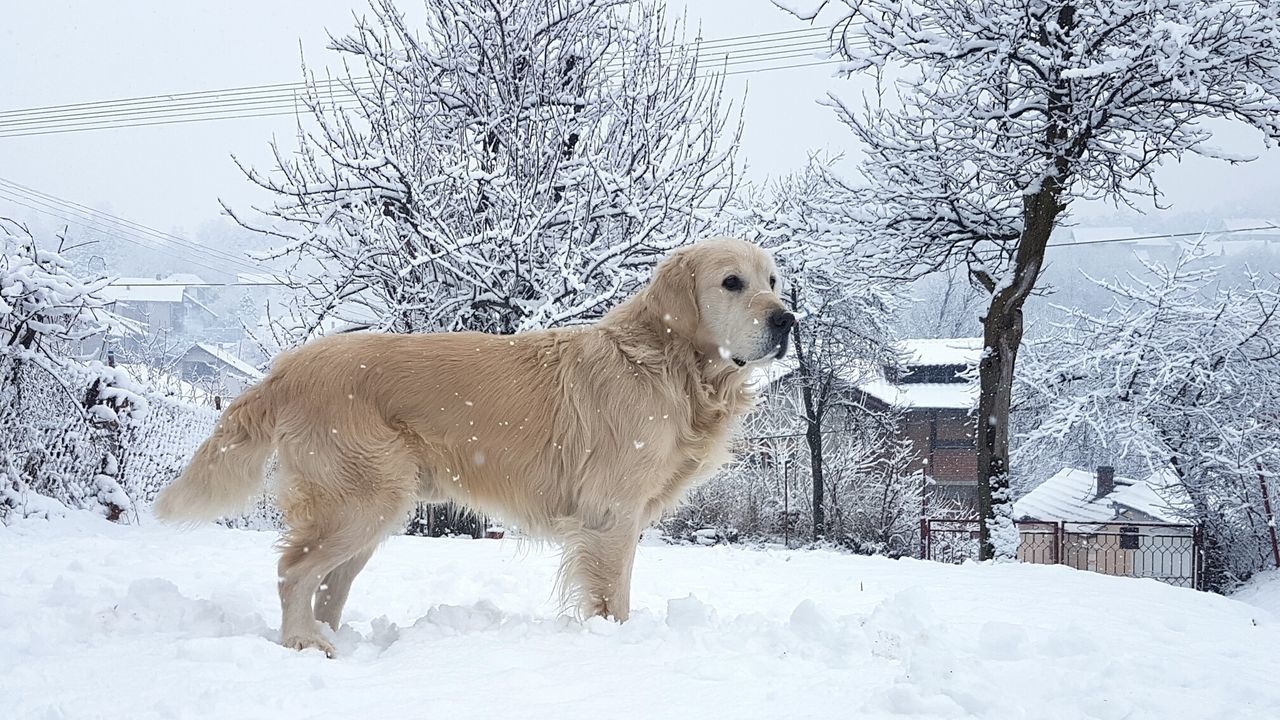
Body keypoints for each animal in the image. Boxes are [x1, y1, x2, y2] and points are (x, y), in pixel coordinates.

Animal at [154, 237, 793, 655]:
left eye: (772, 281)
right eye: (731, 282)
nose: (788, 320)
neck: (667, 362)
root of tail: (287, 367)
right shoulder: (611, 514)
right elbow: (613, 597)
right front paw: (615, 642)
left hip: (375, 507)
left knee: (329, 583)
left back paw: (334, 638)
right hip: (363, 500)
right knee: (294, 572)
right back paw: (305, 643)